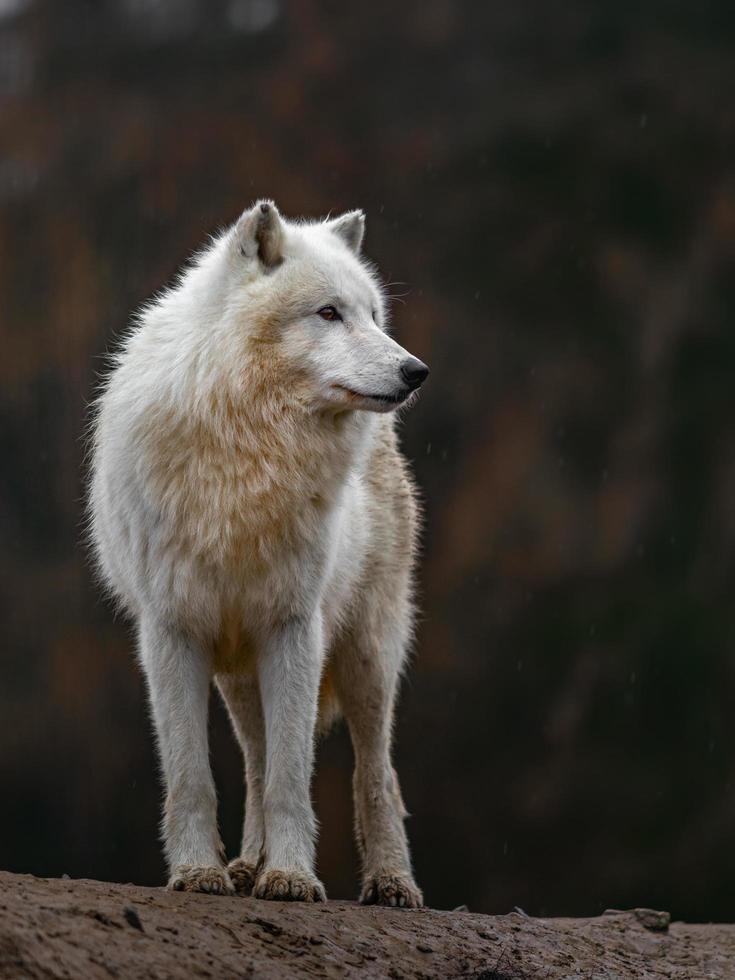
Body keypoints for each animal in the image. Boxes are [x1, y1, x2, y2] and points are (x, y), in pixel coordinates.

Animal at [89, 201, 428, 912]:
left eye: (373, 315)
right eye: (329, 313)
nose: (416, 371)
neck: (250, 449)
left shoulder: (294, 629)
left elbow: (290, 780)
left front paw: (293, 878)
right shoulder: (171, 632)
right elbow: (194, 775)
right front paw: (200, 872)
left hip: (366, 654)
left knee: (376, 773)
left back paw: (391, 882)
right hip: (239, 672)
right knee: (252, 759)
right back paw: (245, 865)